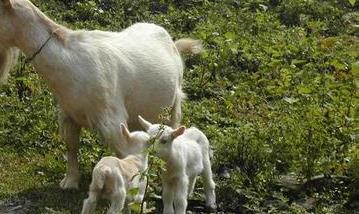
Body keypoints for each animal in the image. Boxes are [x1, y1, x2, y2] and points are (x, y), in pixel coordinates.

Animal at [0, 0, 202, 189]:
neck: (70, 63)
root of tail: (171, 41)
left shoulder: (113, 121)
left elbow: (124, 154)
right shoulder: (68, 114)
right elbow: (71, 146)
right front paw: (70, 181)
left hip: (174, 104)